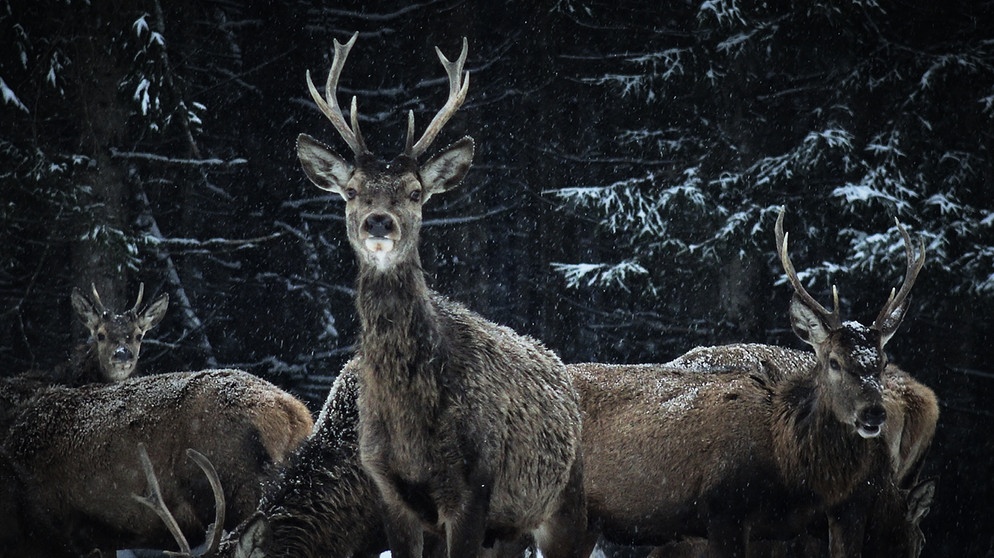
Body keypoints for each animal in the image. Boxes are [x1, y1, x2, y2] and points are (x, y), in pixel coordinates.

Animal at [292, 34, 580, 558]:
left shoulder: (475, 485)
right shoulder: (388, 490)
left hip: (564, 501)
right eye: (351, 190)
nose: (379, 223)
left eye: (414, 192)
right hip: (509, 529)